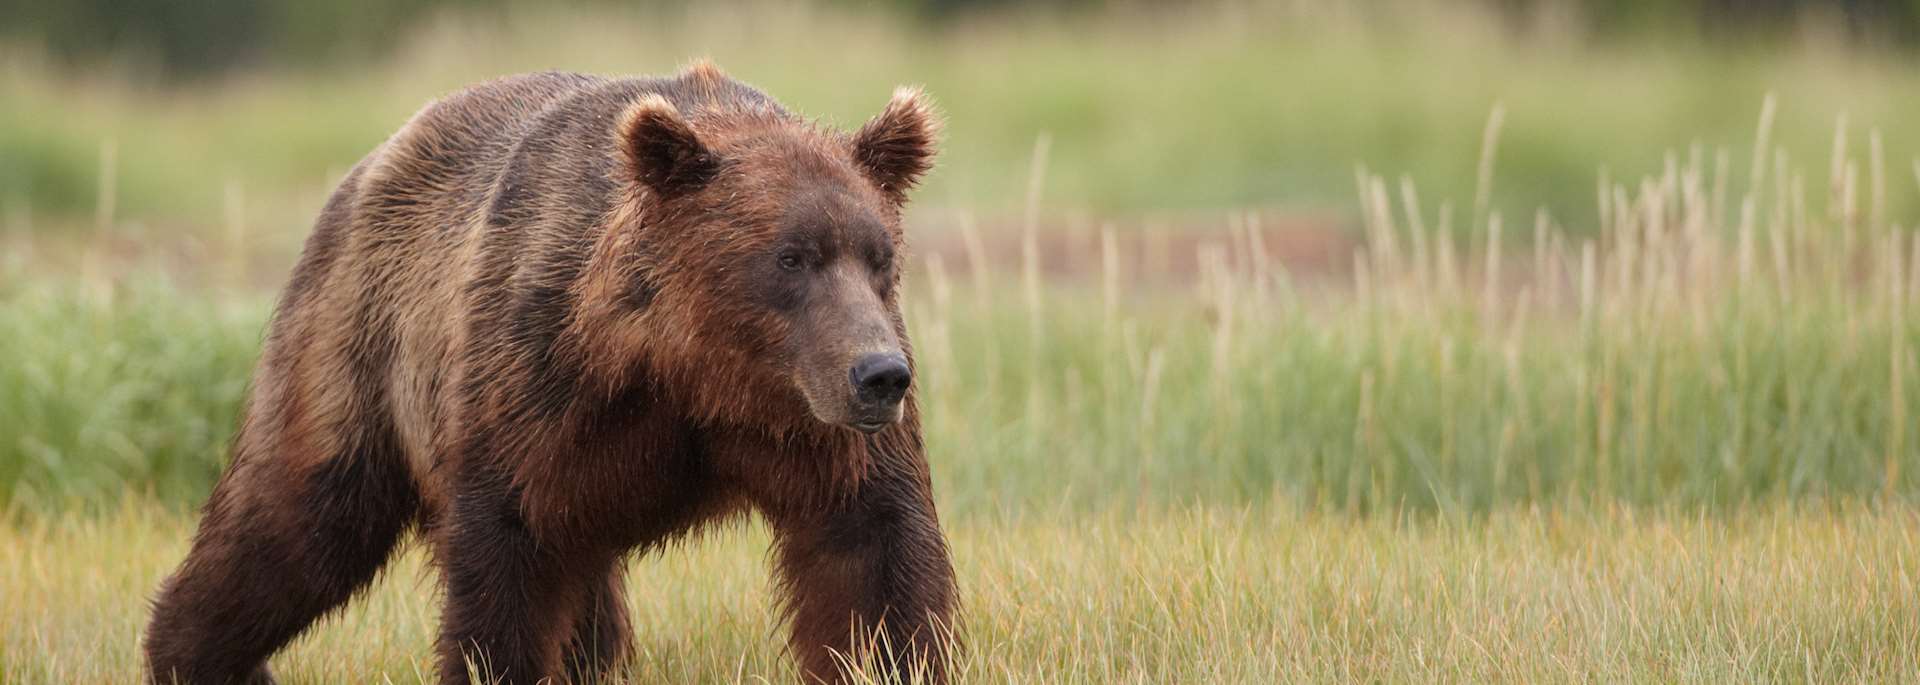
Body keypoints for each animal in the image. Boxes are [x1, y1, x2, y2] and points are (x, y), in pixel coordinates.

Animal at [143, 62, 957, 685]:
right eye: (791, 256)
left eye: (880, 255)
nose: (879, 375)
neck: (689, 371)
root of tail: (367, 168)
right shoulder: (534, 380)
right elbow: (509, 562)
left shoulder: (815, 429)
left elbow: (871, 557)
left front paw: (888, 658)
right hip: (357, 338)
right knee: (298, 518)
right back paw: (197, 653)